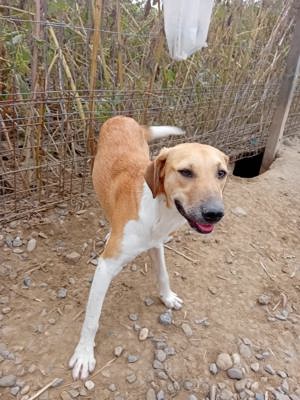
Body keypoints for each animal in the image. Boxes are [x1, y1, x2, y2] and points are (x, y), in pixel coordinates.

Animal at [69, 115, 229, 378]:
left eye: (221, 173)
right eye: (186, 172)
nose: (215, 213)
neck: (158, 210)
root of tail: (122, 117)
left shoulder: (157, 244)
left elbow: (163, 274)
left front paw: (167, 297)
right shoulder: (105, 267)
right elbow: (92, 317)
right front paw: (84, 354)